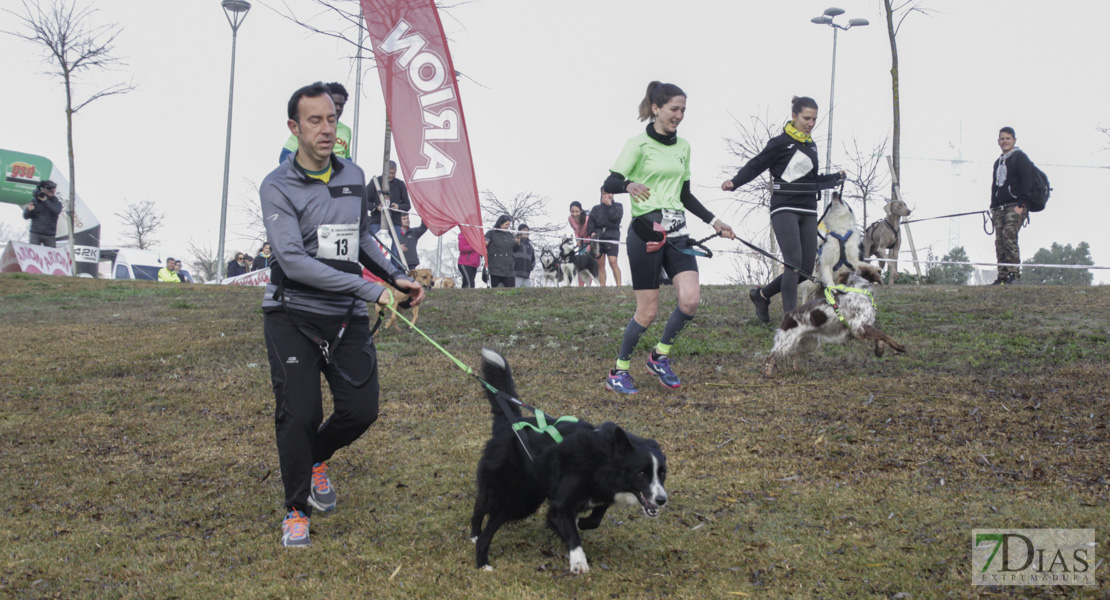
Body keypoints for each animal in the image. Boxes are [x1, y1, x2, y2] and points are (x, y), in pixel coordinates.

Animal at [468, 348, 666, 572]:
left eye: (662, 474)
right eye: (642, 473)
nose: (662, 500)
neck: (602, 461)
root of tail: (510, 423)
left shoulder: (602, 494)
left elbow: (596, 517)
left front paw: (583, 523)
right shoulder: (559, 507)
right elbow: (572, 533)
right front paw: (578, 560)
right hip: (518, 497)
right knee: (482, 508)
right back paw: (479, 548)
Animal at [759, 265, 905, 377]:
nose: (881, 270)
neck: (858, 290)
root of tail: (788, 315)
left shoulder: (862, 329)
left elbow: (880, 337)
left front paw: (879, 351)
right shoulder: (859, 327)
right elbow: (884, 334)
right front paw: (899, 347)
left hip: (809, 343)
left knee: (794, 353)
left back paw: (797, 369)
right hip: (785, 344)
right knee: (770, 358)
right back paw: (768, 373)